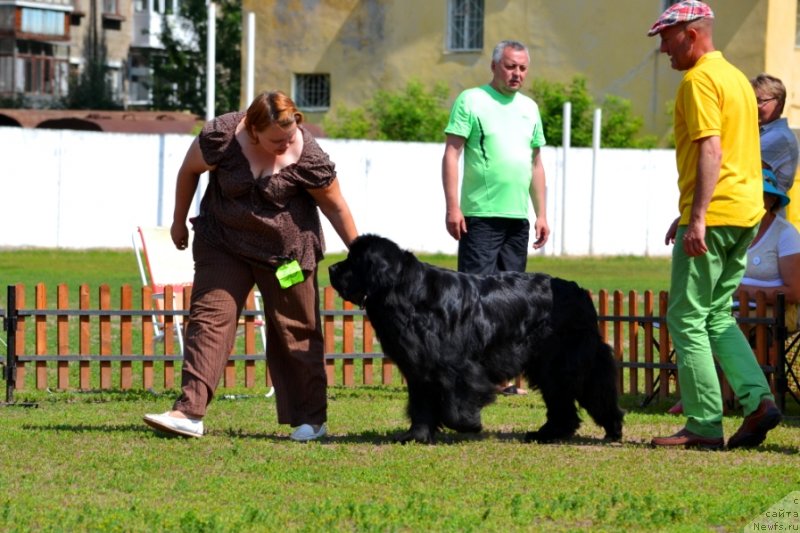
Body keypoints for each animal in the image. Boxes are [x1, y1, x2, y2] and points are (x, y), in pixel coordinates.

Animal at [328, 235, 620, 442]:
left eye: (353, 261)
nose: (331, 268)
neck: (407, 293)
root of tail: (580, 292)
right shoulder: (418, 367)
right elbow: (420, 403)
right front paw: (415, 436)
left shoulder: (457, 367)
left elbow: (456, 403)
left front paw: (469, 423)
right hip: (547, 365)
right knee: (561, 397)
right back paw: (548, 433)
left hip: (566, 359)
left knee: (594, 389)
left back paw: (613, 428)